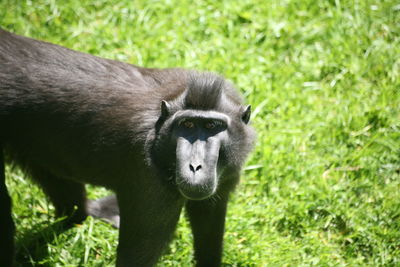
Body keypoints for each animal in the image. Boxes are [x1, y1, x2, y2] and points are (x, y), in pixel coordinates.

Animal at [0, 29, 255, 267]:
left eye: (212, 126)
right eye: (188, 125)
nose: (195, 167)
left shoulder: (226, 174)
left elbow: (208, 221)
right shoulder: (149, 180)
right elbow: (136, 257)